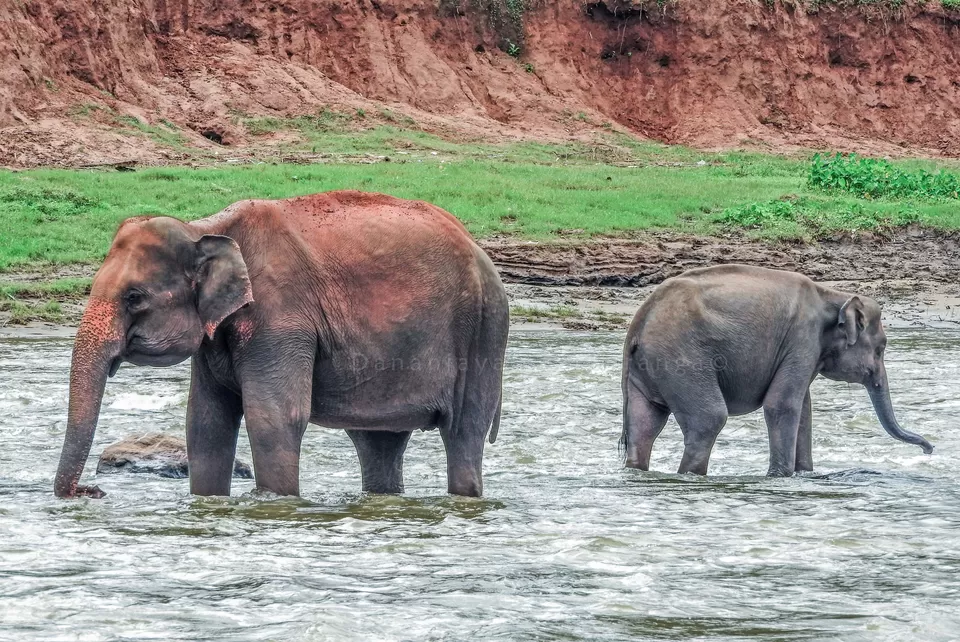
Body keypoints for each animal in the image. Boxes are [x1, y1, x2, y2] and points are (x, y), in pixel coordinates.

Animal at [54, 191, 508, 499]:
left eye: (134, 297)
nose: (91, 492)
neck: (205, 229)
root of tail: (480, 250)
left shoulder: (282, 317)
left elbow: (273, 418)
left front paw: (276, 503)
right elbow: (205, 423)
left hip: (483, 332)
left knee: (463, 433)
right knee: (378, 442)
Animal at [621, 264, 933, 476]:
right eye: (881, 349)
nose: (929, 450)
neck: (830, 294)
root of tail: (640, 319)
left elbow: (804, 411)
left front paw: (806, 474)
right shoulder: (802, 338)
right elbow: (782, 405)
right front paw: (779, 477)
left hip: (652, 366)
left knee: (644, 425)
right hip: (682, 359)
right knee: (708, 419)